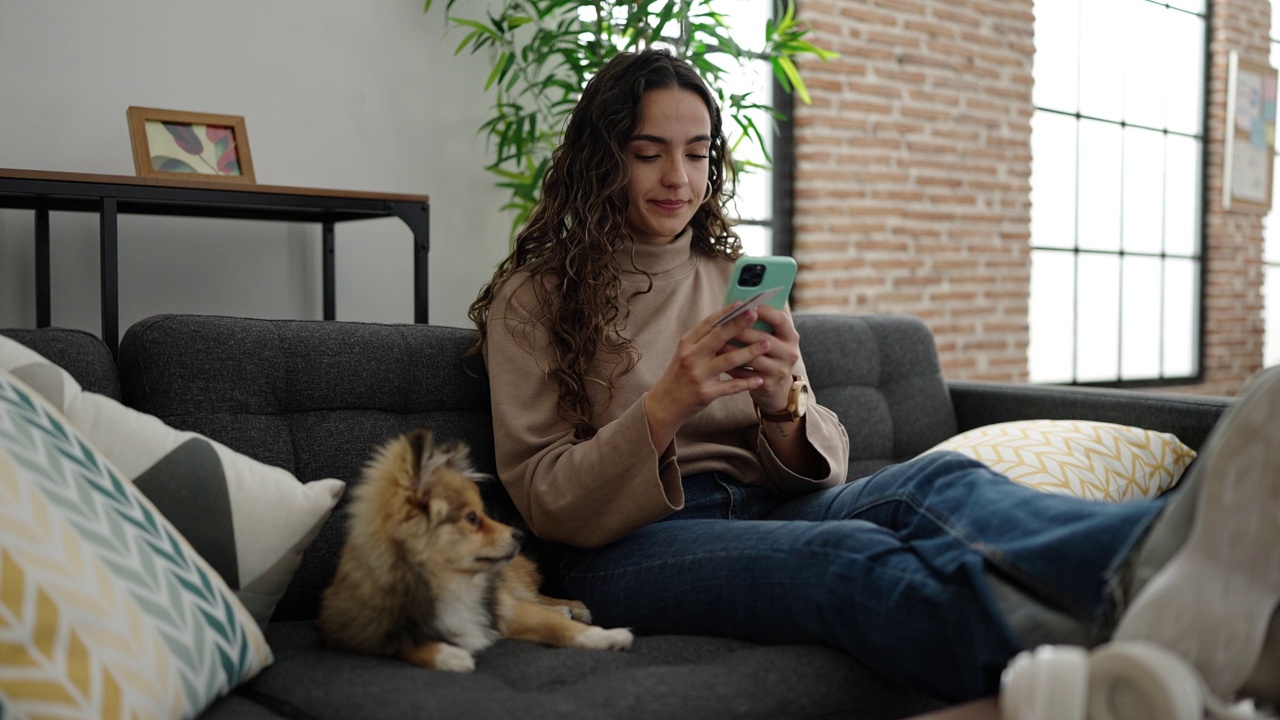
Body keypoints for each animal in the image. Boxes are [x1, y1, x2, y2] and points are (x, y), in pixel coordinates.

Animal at [317, 422, 632, 671]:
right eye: (472, 518)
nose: (520, 536)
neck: (449, 581)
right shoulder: (357, 630)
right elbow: (406, 644)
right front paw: (449, 656)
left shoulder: (503, 606)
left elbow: (558, 627)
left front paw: (610, 636)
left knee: (538, 598)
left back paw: (571, 607)